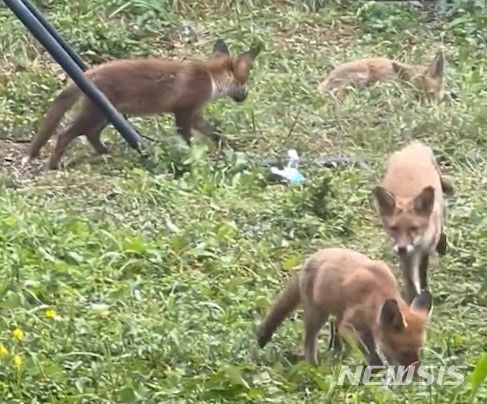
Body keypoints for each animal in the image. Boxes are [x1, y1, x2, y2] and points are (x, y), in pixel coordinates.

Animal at [28, 38, 262, 170]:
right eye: (245, 82)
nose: (246, 95)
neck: (211, 77)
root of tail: (89, 72)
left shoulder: (195, 113)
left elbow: (215, 133)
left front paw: (228, 149)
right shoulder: (183, 112)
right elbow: (188, 139)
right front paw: (192, 156)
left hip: (106, 115)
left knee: (90, 135)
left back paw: (105, 153)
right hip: (95, 114)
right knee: (64, 135)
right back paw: (54, 165)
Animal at [258, 248, 432, 374]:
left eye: (420, 353)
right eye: (404, 353)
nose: (415, 379)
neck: (375, 295)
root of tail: (310, 258)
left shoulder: (365, 330)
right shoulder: (350, 327)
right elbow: (372, 354)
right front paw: (376, 371)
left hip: (335, 311)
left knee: (334, 325)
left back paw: (336, 350)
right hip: (317, 315)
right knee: (309, 342)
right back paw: (314, 368)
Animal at [374, 142, 454, 304]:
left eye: (414, 228)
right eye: (393, 228)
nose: (402, 248)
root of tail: (414, 144)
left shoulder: (425, 249)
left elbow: (422, 273)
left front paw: (424, 291)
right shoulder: (405, 256)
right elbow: (410, 279)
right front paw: (412, 298)